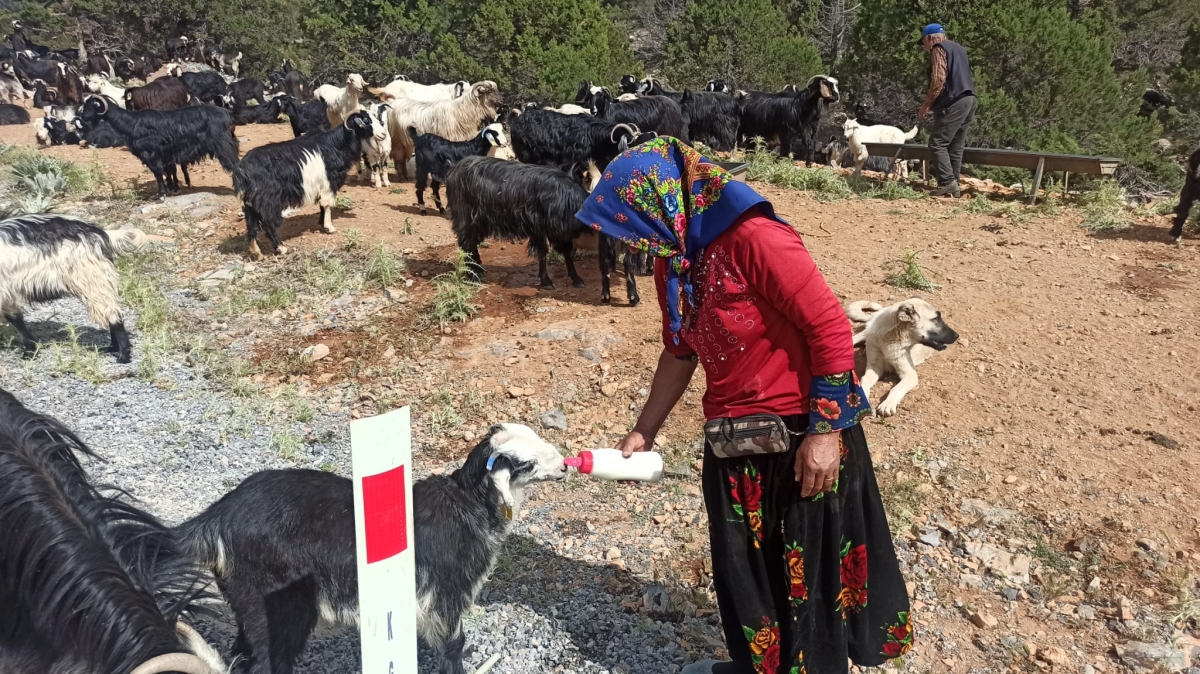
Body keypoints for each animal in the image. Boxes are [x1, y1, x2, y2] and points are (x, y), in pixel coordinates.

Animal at [78, 95, 238, 197]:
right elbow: (166, 173)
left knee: (234, 164)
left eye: (90, 106)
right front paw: (170, 189)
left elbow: (158, 174)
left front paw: (161, 194)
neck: (132, 124)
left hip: (223, 145)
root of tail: (226, 114)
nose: (82, 118)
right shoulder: (164, 155)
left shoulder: (151, 154)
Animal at [177, 422, 566, 671]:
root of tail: (216, 518)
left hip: (247, 603)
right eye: (526, 463)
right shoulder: (445, 598)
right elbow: (452, 647)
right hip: (278, 604)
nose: (564, 465)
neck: (466, 506)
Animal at [235, 110, 374, 256]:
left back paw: (256, 252)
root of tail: (241, 171)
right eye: (366, 120)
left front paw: (321, 222)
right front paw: (329, 227)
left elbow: (321, 206)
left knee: (251, 226)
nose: (376, 133)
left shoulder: (322, 184)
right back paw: (281, 248)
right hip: (268, 201)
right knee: (268, 224)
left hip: (250, 203)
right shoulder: (328, 183)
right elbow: (327, 205)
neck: (337, 144)